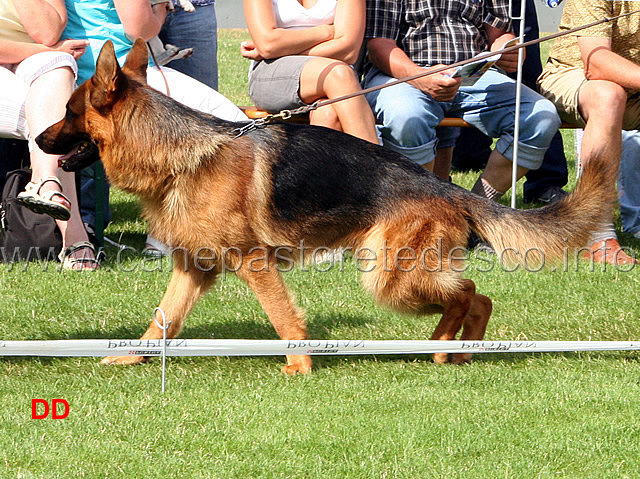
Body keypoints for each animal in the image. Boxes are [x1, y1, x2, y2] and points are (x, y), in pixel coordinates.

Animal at [38, 39, 616, 374]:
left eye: (68, 110)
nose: (39, 139)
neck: (180, 155)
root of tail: (450, 188)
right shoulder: (193, 269)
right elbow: (163, 322)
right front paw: (134, 356)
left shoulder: (253, 263)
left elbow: (283, 317)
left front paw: (299, 366)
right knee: (477, 297)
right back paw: (452, 350)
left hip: (388, 276)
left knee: (473, 293)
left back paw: (443, 345)